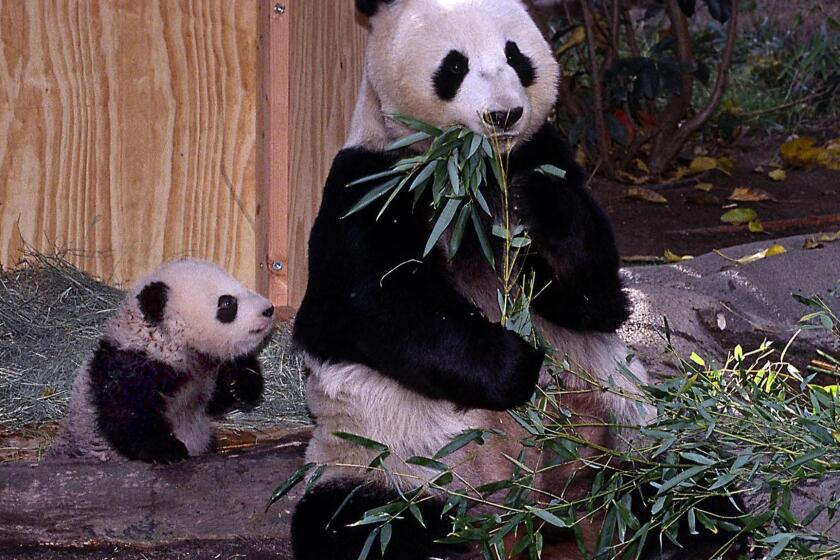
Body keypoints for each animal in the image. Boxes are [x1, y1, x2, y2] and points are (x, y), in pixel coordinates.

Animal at [292, 1, 652, 560]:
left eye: (516, 55)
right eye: (455, 65)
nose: (504, 115)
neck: (474, 168)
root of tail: (527, 515)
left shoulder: (546, 154)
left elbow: (595, 300)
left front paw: (539, 204)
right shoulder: (372, 180)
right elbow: (371, 306)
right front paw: (517, 364)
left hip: (629, 432)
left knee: (679, 486)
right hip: (384, 461)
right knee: (353, 522)